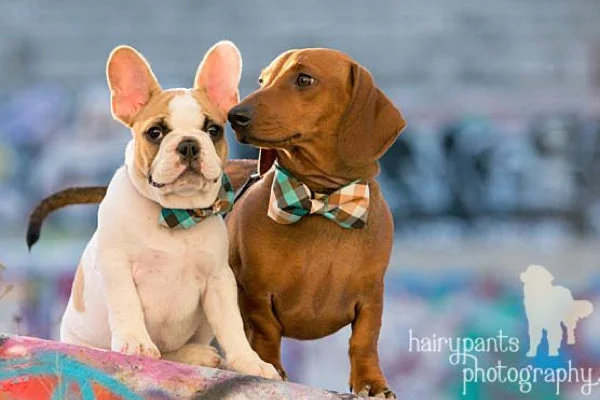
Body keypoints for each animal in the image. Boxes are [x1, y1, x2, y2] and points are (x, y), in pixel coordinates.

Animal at [59, 42, 280, 380]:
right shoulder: (117, 265)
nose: (188, 144)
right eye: (155, 133)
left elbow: (232, 326)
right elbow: (127, 304)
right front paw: (136, 343)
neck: (175, 214)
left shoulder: (218, 280)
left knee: (172, 354)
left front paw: (249, 361)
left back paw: (195, 354)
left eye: (213, 130)